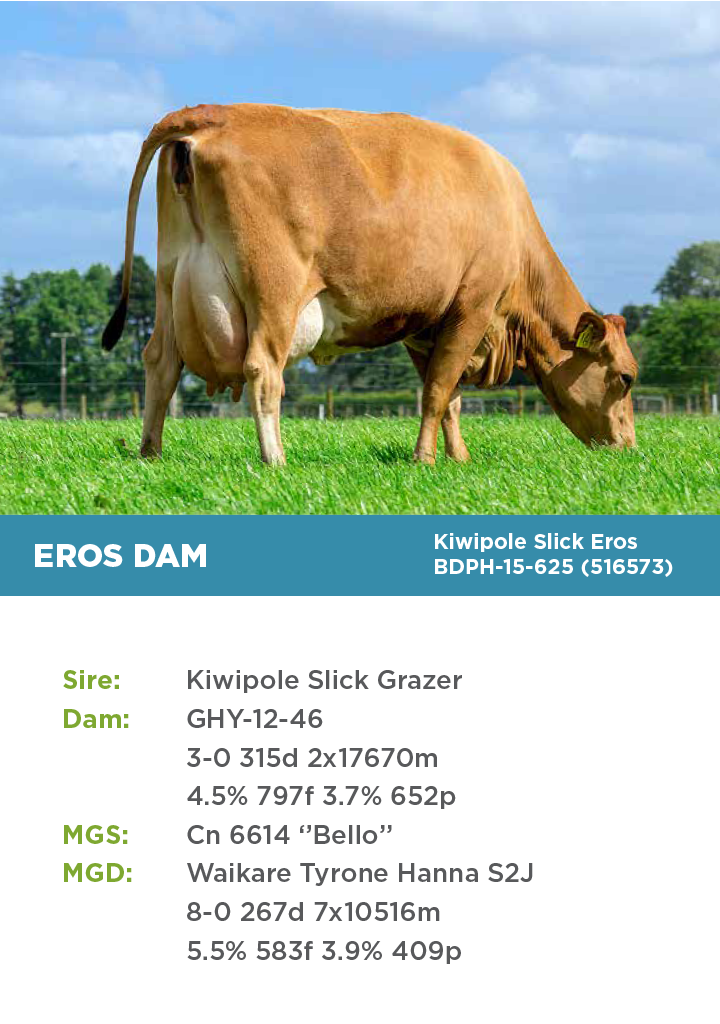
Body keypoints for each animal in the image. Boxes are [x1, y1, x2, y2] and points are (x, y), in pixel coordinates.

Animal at [102, 103, 637, 465]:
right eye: (626, 377)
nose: (629, 448)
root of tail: (210, 114)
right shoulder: (473, 306)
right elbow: (438, 391)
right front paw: (425, 461)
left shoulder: (428, 324)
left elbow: (448, 396)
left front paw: (456, 458)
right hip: (275, 292)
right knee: (263, 371)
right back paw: (275, 460)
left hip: (171, 280)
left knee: (160, 364)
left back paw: (150, 452)